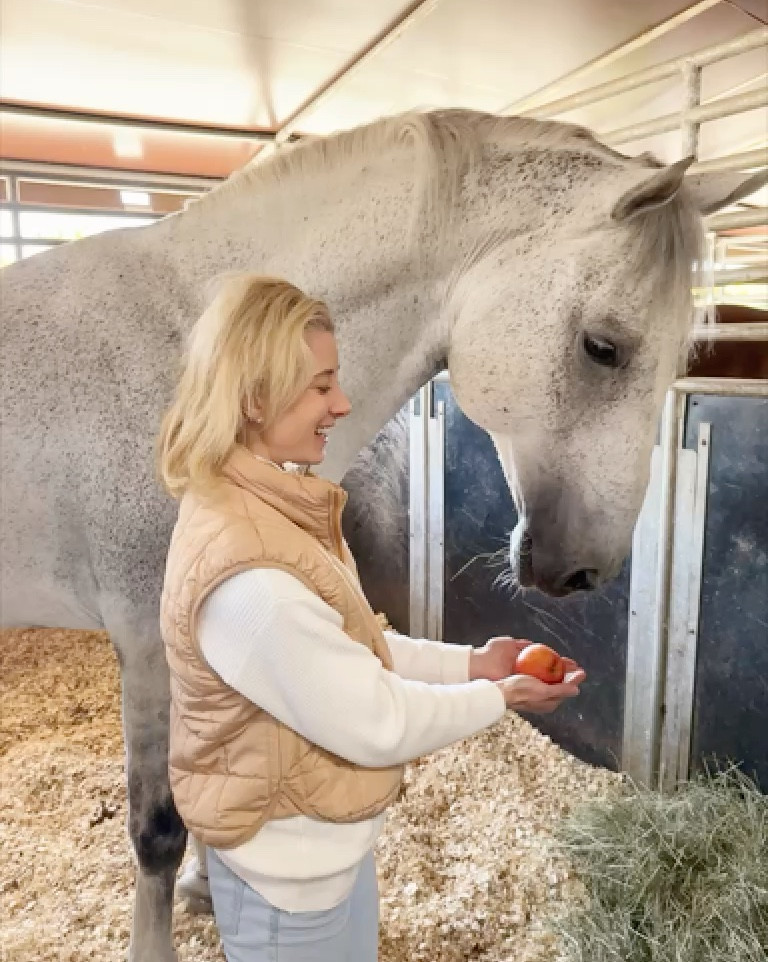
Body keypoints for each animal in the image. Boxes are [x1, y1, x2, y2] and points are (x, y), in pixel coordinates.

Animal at [1, 109, 764, 962]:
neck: (195, 363)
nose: (583, 571)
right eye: (604, 347)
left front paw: (212, 888)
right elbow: (158, 829)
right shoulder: (146, 640)